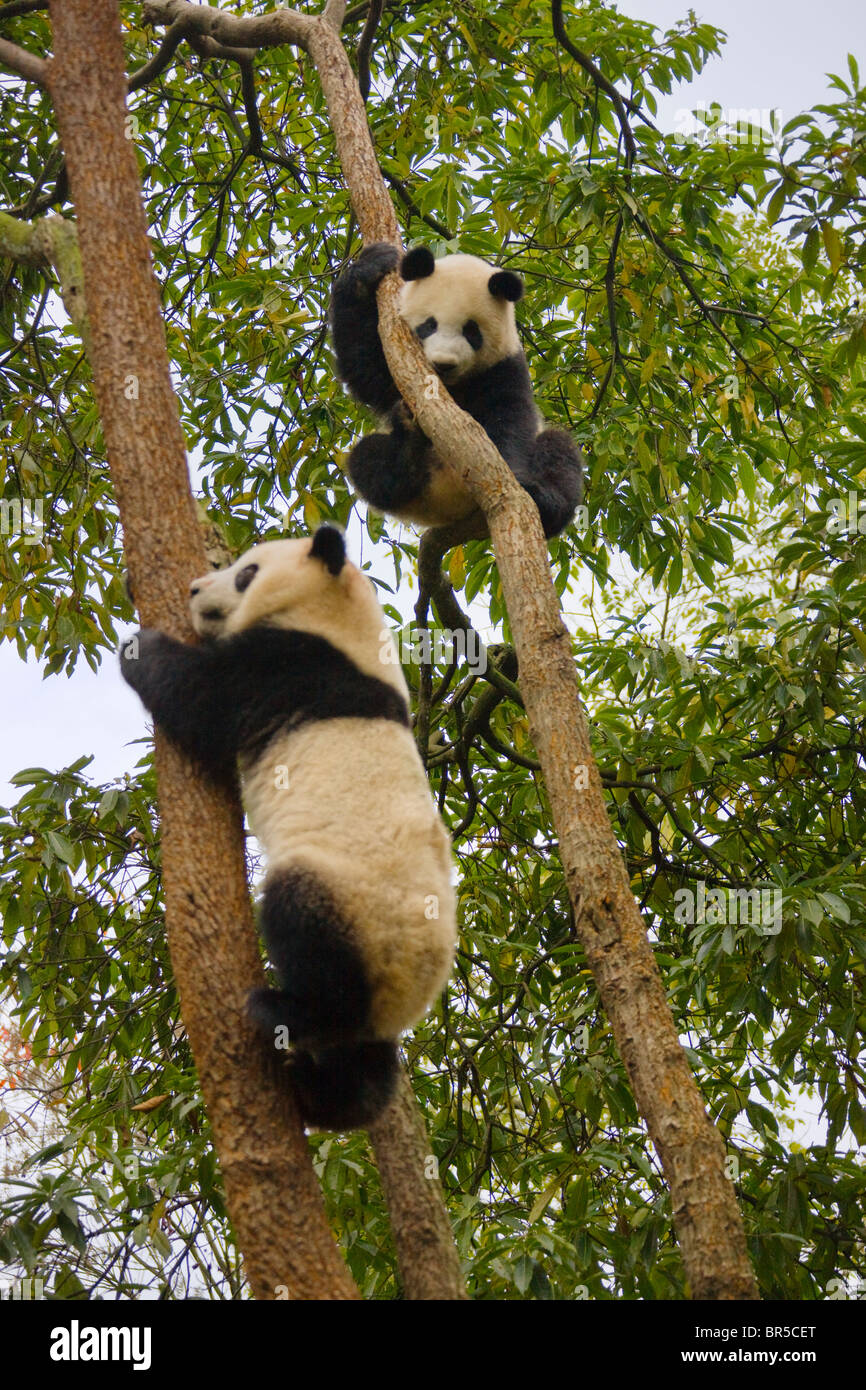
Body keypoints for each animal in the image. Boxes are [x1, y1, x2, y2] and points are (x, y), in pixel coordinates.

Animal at [119, 524, 456, 1130]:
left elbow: (205, 700)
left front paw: (138, 644)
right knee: (363, 1070)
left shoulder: (292, 666)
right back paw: (323, 1092)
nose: (194, 589)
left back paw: (283, 1011)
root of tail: (406, 996)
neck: (339, 614)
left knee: (306, 921)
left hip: (361, 906)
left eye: (247, 573)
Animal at [330, 243, 584, 537]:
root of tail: (452, 500)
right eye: (429, 325)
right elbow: (364, 368)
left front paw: (514, 476)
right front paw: (372, 265)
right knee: (368, 461)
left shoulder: (504, 365)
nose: (443, 364)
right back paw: (407, 450)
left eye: (471, 331)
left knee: (560, 452)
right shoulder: (395, 361)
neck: (453, 385)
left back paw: (545, 500)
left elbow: (510, 415)